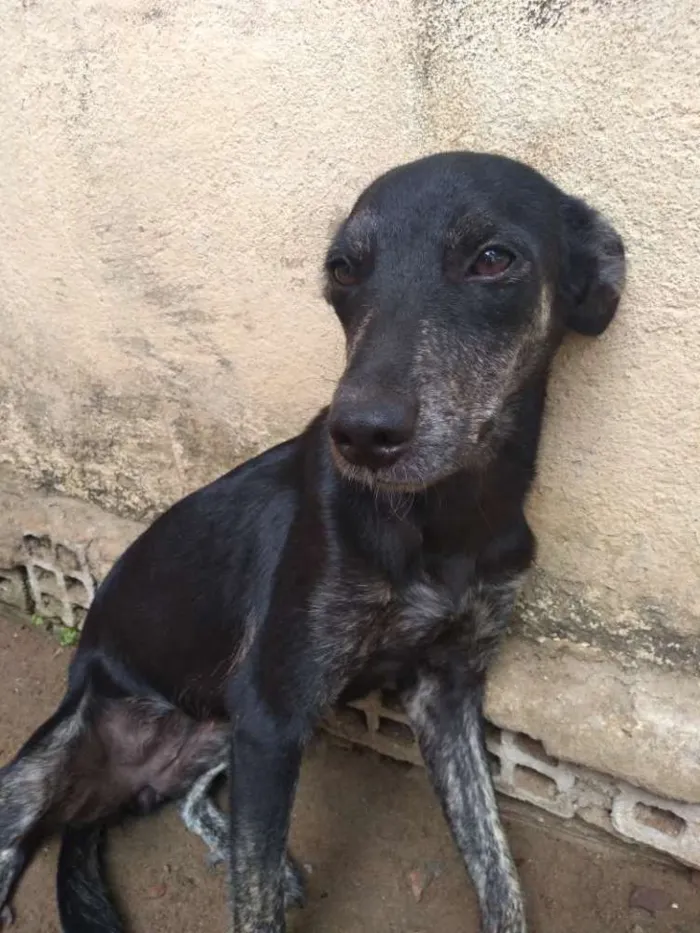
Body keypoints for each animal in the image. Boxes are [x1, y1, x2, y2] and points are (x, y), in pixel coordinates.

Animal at [0, 155, 624, 932]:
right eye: (343, 269)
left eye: (493, 259)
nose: (360, 433)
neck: (447, 517)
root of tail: (109, 794)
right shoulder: (271, 714)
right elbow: (254, 903)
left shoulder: (446, 692)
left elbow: (497, 868)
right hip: (51, 762)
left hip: (219, 726)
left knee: (194, 801)